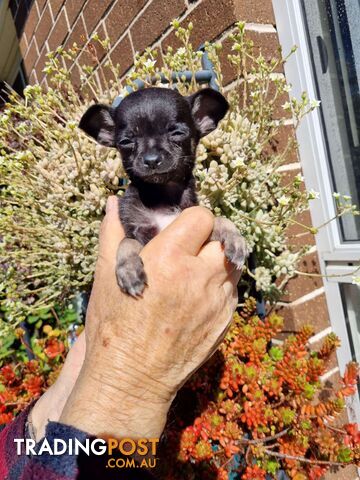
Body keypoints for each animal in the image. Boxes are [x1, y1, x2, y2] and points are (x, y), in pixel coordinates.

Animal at [79, 86, 248, 296]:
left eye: (177, 133)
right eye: (125, 141)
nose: (151, 159)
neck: (163, 194)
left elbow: (220, 220)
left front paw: (235, 239)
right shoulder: (138, 231)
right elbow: (126, 242)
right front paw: (129, 270)